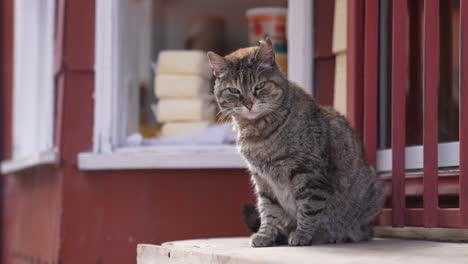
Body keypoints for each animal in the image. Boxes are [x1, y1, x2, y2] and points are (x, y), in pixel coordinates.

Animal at [207, 38, 384, 246]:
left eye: (260, 86)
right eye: (233, 91)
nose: (248, 104)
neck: (257, 133)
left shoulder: (309, 174)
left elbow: (308, 208)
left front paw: (302, 234)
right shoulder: (263, 180)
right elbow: (268, 210)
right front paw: (265, 235)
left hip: (372, 193)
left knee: (354, 231)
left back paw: (329, 235)